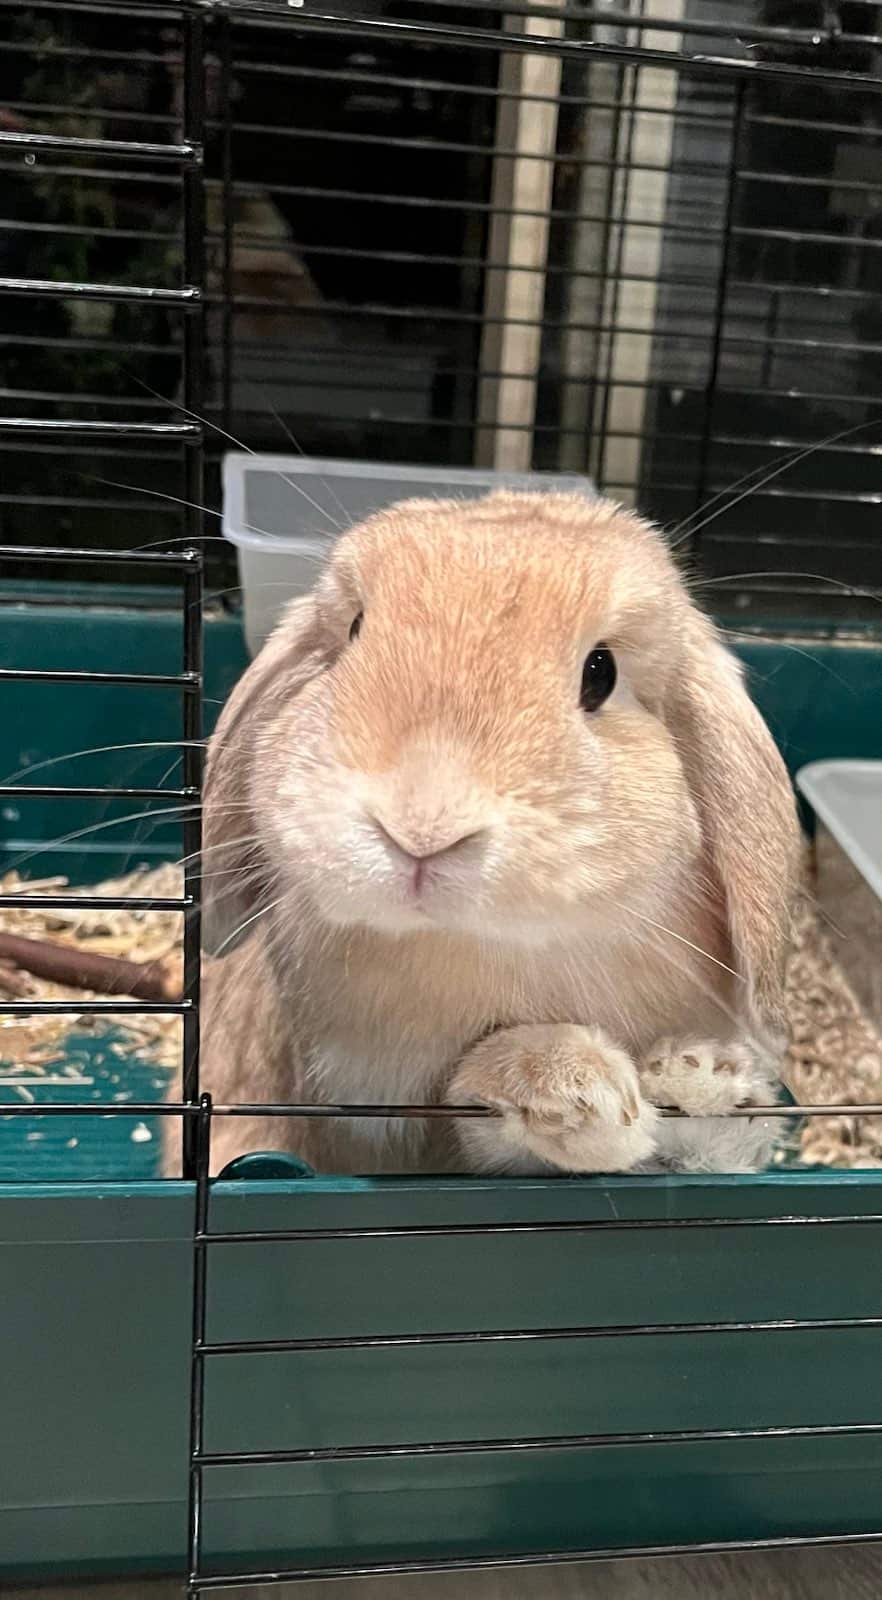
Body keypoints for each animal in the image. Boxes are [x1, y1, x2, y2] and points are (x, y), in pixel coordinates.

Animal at [188, 490, 801, 1179]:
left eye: (601, 673)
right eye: (353, 632)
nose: (421, 825)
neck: (484, 951)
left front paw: (706, 1082)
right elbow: (475, 1123)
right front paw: (576, 1090)